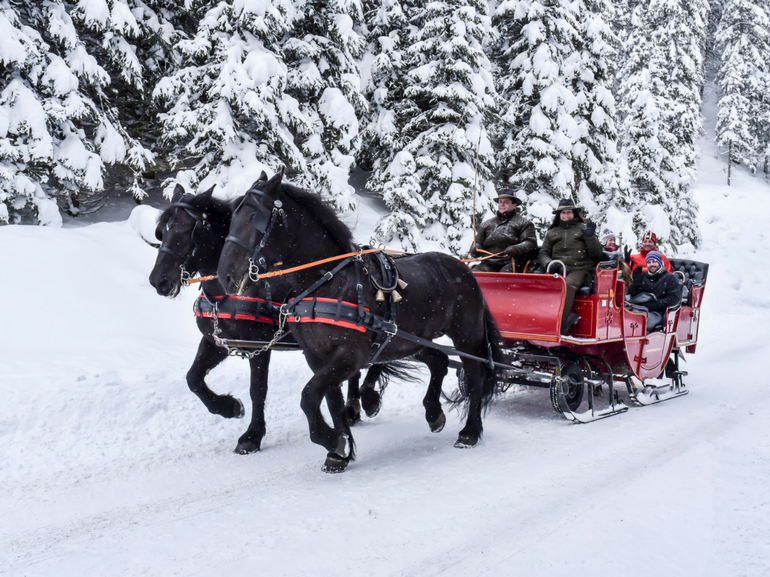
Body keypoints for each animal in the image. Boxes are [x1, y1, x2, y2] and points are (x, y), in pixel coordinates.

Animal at [148, 178, 392, 452]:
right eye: (162, 232)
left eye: (187, 230)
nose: (158, 281)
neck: (228, 294)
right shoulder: (218, 342)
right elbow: (193, 379)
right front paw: (229, 408)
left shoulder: (259, 345)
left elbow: (258, 389)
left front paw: (252, 435)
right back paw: (353, 408)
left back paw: (367, 400)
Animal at [214, 170, 498, 472]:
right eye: (232, 217)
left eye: (254, 217)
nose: (225, 275)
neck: (327, 281)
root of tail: (463, 269)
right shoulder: (316, 356)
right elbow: (331, 402)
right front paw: (339, 451)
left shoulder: (349, 355)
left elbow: (309, 396)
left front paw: (330, 439)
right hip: (409, 341)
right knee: (440, 361)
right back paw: (434, 413)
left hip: (467, 336)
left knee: (475, 374)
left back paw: (469, 431)